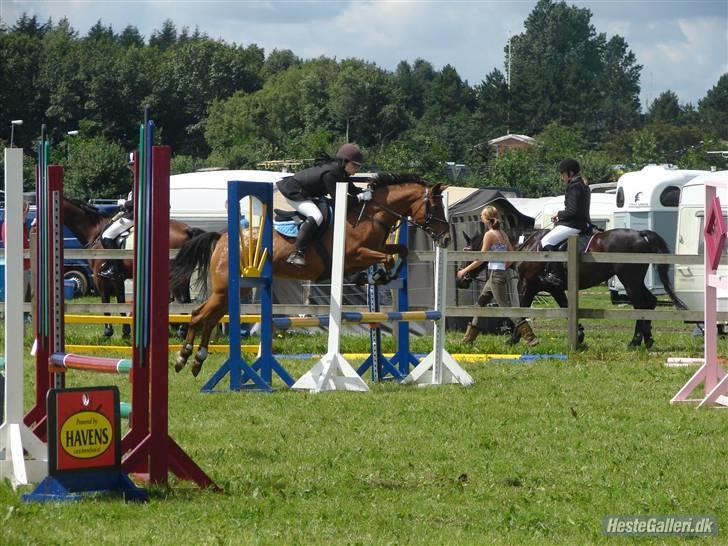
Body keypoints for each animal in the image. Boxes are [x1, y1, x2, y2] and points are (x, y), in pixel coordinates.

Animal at [61, 196, 203, 336]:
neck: (94, 232)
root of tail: (187, 229)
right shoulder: (117, 278)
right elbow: (120, 301)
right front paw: (125, 331)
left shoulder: (100, 277)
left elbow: (105, 301)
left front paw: (108, 331)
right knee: (186, 300)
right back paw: (183, 332)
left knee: (183, 300)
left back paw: (181, 332)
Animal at [171, 174, 452, 374]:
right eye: (434, 206)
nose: (447, 239)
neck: (371, 215)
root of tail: (222, 238)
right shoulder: (355, 254)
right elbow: (384, 257)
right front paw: (378, 276)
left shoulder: (375, 248)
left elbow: (400, 250)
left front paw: (380, 276)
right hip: (226, 288)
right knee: (199, 317)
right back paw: (183, 357)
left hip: (236, 289)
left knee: (207, 317)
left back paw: (197, 361)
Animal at [512, 227, 688, 346]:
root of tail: (639, 234)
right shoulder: (554, 289)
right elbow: (565, 306)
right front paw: (579, 334)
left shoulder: (527, 285)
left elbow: (521, 310)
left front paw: (515, 339)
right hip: (635, 280)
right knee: (650, 302)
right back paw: (648, 339)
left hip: (629, 280)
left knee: (640, 305)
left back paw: (635, 341)